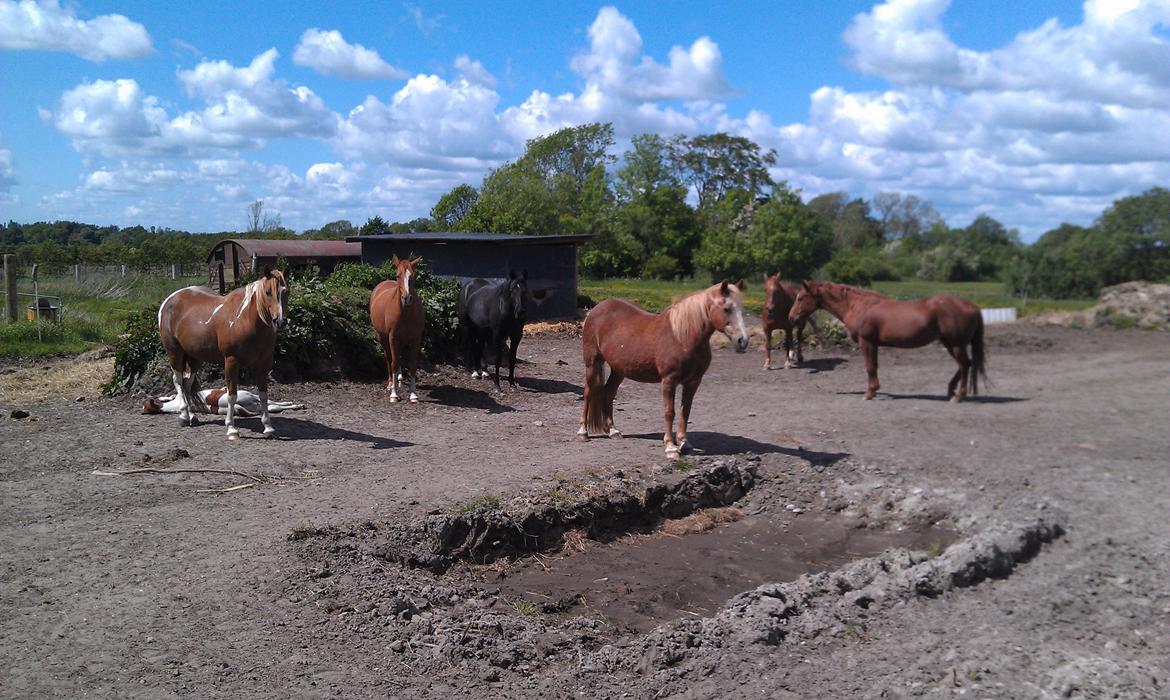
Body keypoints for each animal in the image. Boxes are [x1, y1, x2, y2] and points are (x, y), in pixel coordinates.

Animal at [157, 268, 288, 440]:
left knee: (187, 384)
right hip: (175, 352)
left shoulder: (264, 362)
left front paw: (268, 428)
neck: (245, 320)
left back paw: (192, 416)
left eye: (285, 291)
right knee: (178, 381)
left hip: (195, 358)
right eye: (267, 292)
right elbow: (232, 395)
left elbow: (263, 394)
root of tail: (169, 300)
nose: (280, 321)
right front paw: (232, 429)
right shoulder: (231, 361)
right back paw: (184, 416)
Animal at [370, 255, 426, 403]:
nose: (407, 299)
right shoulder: (393, 338)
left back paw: (399, 379)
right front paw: (394, 395)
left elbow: (413, 365)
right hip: (383, 337)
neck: (405, 313)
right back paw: (391, 383)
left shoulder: (415, 339)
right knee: (389, 358)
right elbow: (394, 363)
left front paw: (413, 394)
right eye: (397, 275)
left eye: (413, 275)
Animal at [577, 280, 750, 457]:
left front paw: (684, 443)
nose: (742, 341)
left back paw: (613, 431)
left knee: (609, 392)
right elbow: (669, 412)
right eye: (727, 308)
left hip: (619, 369)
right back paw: (583, 432)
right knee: (588, 392)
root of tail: (597, 309)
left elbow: (685, 411)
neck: (682, 337)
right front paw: (671, 447)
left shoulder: (693, 382)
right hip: (593, 363)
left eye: (741, 309)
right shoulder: (669, 380)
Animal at [788, 280, 986, 401]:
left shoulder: (866, 342)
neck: (859, 306)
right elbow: (874, 366)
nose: (791, 317)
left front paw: (868, 393)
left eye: (800, 298)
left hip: (956, 344)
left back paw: (958, 396)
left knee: (965, 365)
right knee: (965, 365)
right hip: (950, 343)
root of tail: (973, 306)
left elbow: (869, 367)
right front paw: (874, 390)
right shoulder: (873, 344)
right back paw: (951, 390)